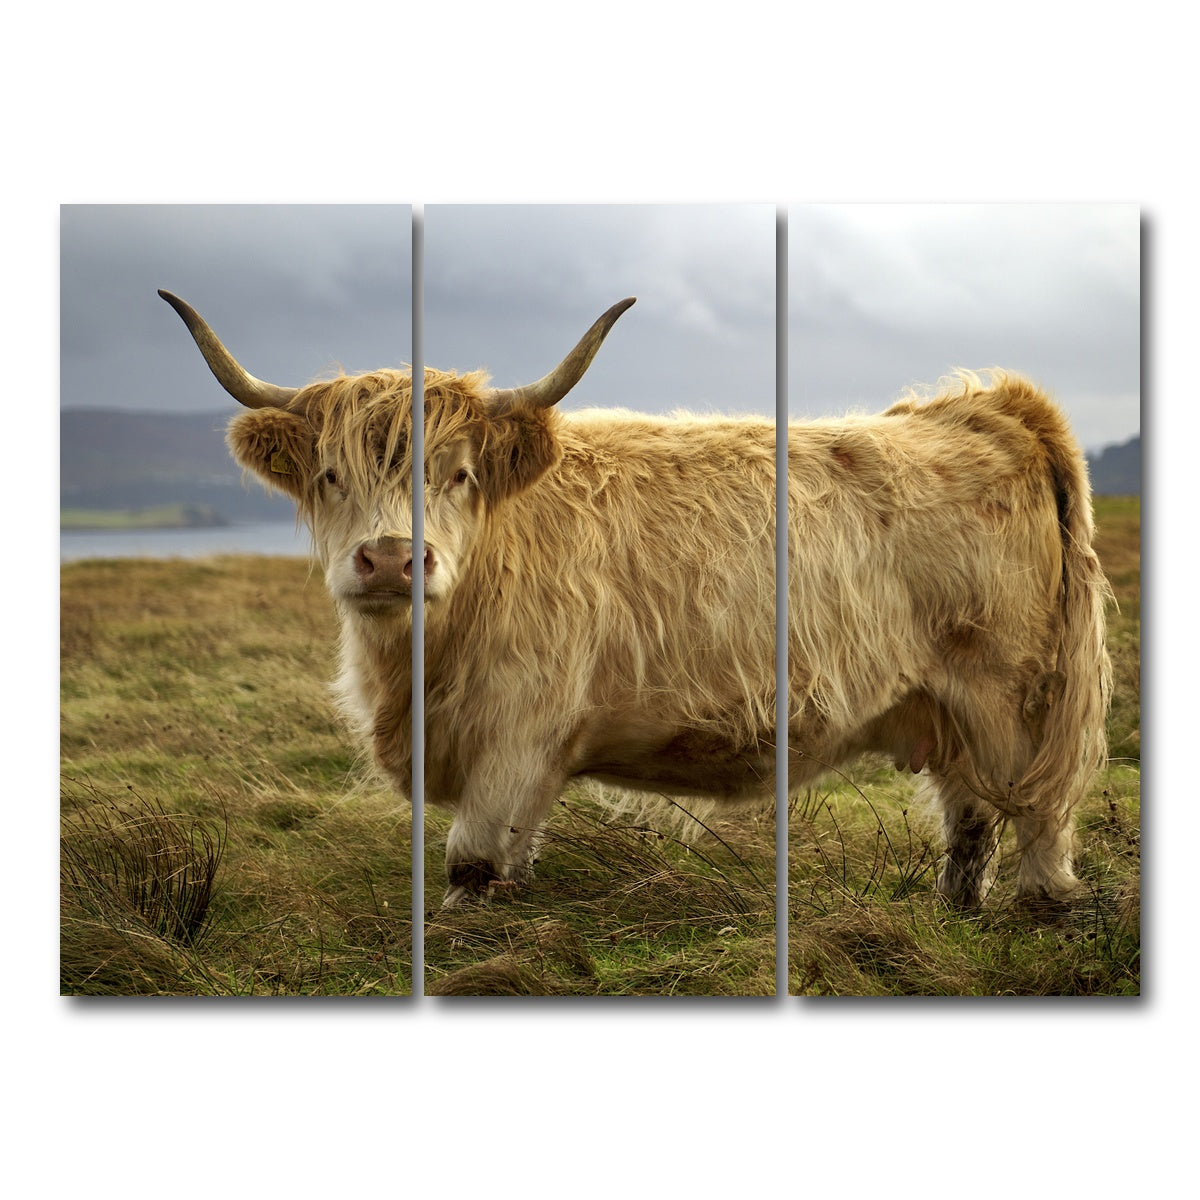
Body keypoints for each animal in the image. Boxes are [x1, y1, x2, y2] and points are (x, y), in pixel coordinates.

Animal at [160, 289, 1111, 910]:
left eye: (459, 475)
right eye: (330, 475)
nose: (393, 559)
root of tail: (989, 407)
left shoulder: (516, 733)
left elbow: (471, 867)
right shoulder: (529, 758)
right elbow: (513, 864)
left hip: (1015, 700)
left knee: (1037, 818)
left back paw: (1035, 911)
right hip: (948, 708)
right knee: (969, 818)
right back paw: (955, 913)